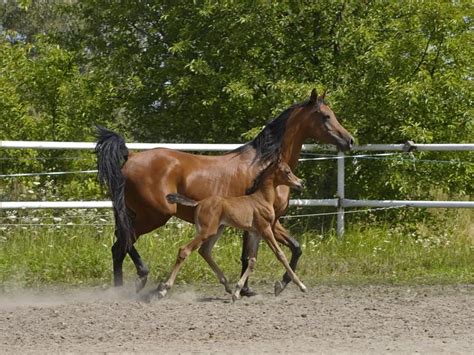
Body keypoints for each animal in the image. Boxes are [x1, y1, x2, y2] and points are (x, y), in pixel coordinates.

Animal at [159, 163, 308, 302]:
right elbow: (280, 254)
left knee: (204, 251)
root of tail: (199, 203)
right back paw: (164, 289)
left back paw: (228, 287)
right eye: (287, 171)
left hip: (217, 230)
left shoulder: (255, 233)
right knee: (185, 250)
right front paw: (301, 286)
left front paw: (237, 292)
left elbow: (252, 260)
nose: (300, 183)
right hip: (206, 231)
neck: (262, 199)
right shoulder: (266, 229)